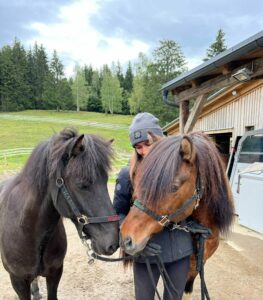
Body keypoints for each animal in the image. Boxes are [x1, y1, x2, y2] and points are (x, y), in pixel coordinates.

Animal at [0, 127, 119, 298]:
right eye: (81, 184)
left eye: (105, 180)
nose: (113, 243)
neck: (28, 229)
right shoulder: (18, 281)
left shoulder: (55, 273)